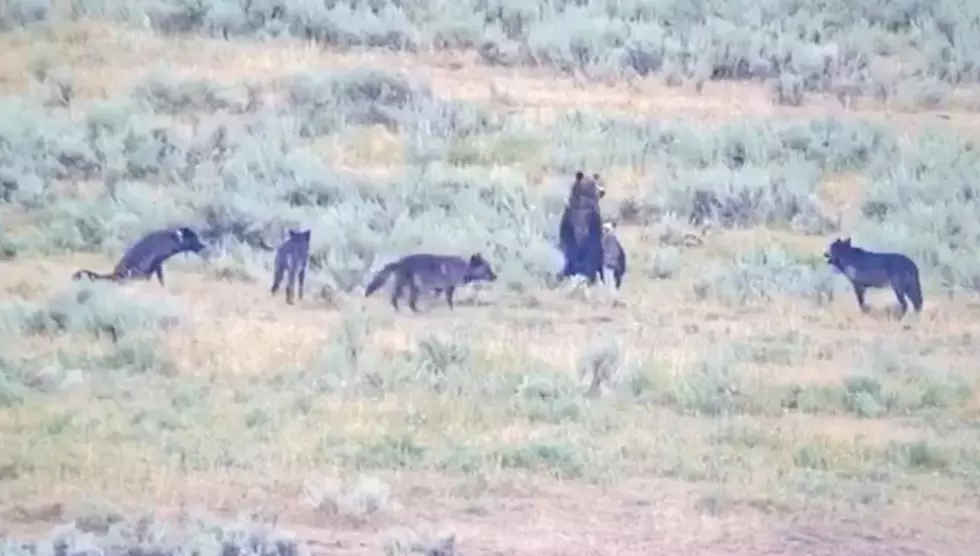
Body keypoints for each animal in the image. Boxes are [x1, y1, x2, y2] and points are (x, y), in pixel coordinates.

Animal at [71, 227, 207, 286]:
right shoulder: (155, 264)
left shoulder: (156, 265)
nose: (203, 245)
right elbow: (159, 278)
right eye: (194, 238)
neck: (173, 238)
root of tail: (113, 274)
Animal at [364, 253, 498, 312]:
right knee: (400, 299)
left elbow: (434, 299)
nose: (495, 276)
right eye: (487, 268)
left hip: (411, 286)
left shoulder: (439, 288)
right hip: (412, 286)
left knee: (405, 300)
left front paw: (432, 306)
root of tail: (399, 262)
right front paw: (451, 309)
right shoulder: (449, 287)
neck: (463, 268)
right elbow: (449, 300)